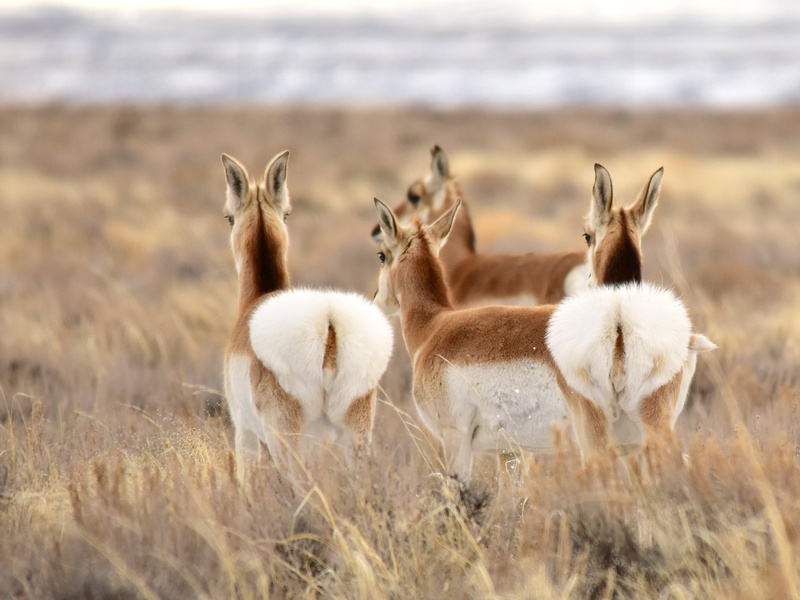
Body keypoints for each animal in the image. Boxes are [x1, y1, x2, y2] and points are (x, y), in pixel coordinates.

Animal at [221, 150, 393, 485]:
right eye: (287, 214)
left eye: (228, 217)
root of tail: (329, 323)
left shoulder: (245, 432)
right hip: (354, 435)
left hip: (289, 442)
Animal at [372, 164, 715, 485]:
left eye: (382, 255)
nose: (376, 299)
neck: (434, 324)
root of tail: (620, 319)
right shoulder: (508, 451)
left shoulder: (455, 438)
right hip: (650, 426)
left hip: (595, 432)